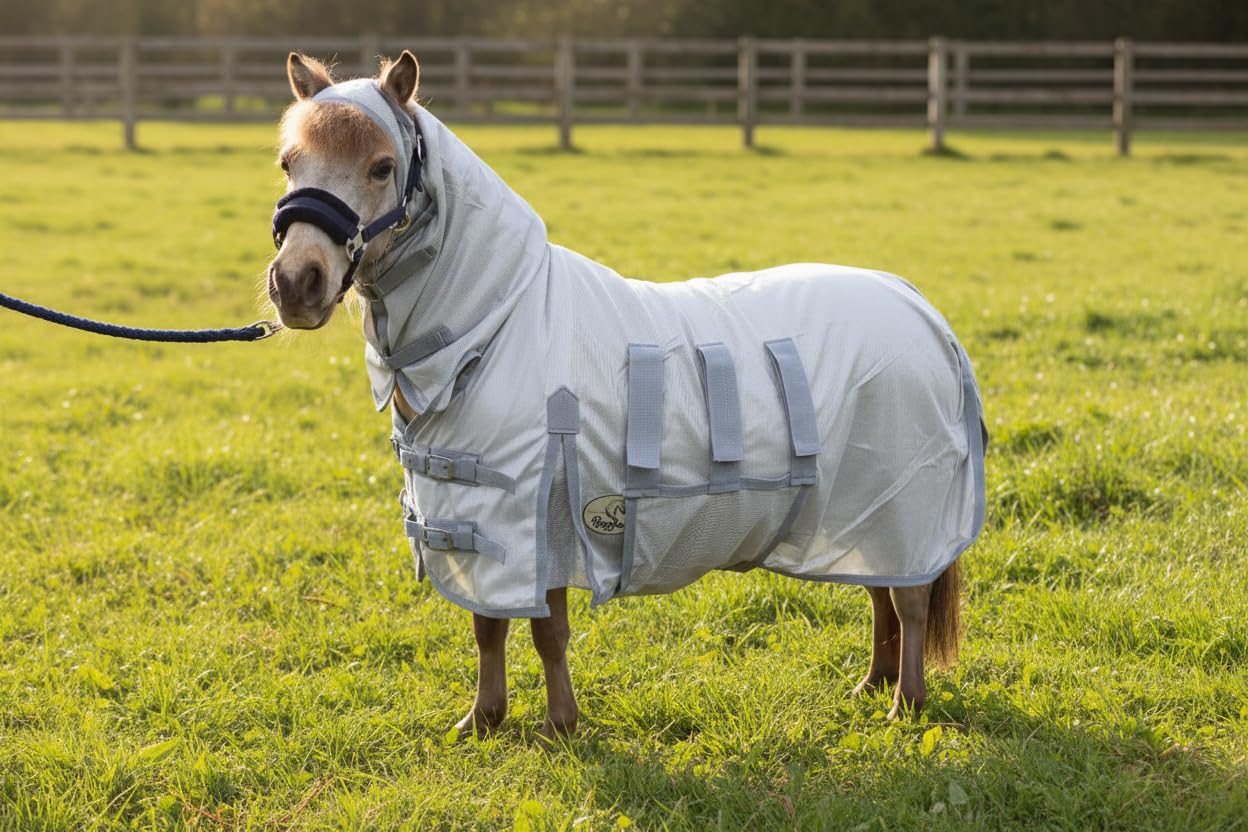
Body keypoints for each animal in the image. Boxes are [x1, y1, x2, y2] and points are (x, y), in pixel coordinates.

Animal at [266, 50, 986, 742]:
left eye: (382, 166)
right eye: (288, 161)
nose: (297, 282)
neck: (497, 323)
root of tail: (922, 311)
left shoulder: (543, 520)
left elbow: (546, 632)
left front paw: (559, 729)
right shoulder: (479, 520)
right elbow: (488, 627)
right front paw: (483, 721)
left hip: (903, 502)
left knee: (910, 601)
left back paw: (904, 704)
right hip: (859, 509)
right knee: (880, 588)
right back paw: (870, 685)